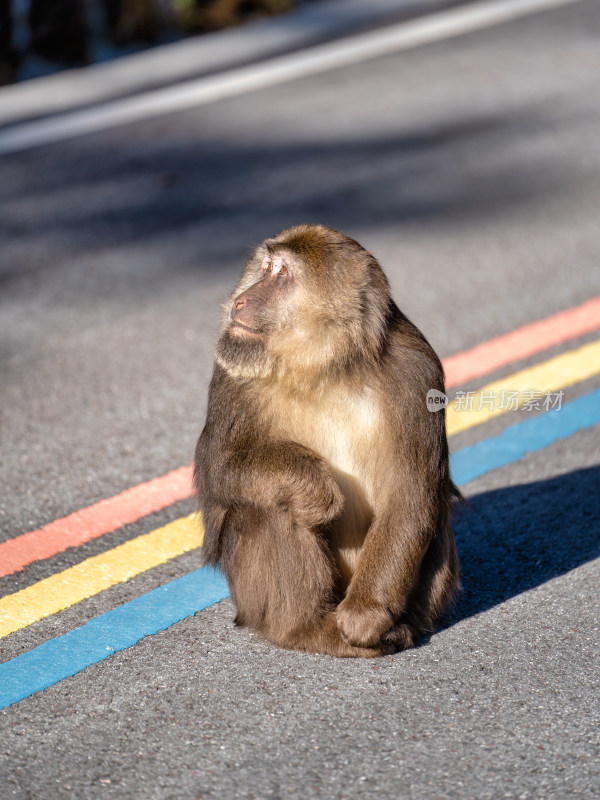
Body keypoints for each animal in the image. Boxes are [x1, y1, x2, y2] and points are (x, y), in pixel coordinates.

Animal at [193, 223, 460, 656]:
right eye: (265, 267)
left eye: (282, 273)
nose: (240, 301)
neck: (324, 367)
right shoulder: (231, 368)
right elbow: (216, 466)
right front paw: (314, 486)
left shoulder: (417, 372)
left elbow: (410, 495)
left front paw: (367, 616)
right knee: (271, 506)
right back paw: (308, 628)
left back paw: (392, 628)